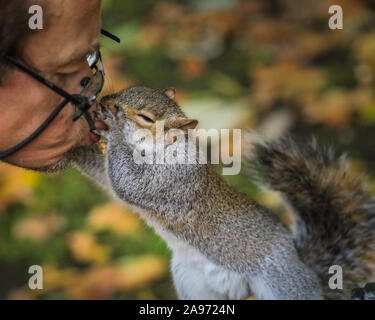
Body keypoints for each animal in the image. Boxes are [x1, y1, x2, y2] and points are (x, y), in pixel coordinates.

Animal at [72, 85, 375, 300]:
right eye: (128, 89)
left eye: (146, 118)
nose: (104, 104)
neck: (165, 147)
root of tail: (302, 264)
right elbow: (103, 173)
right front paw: (71, 150)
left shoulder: (171, 180)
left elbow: (131, 183)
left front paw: (114, 131)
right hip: (193, 285)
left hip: (284, 284)